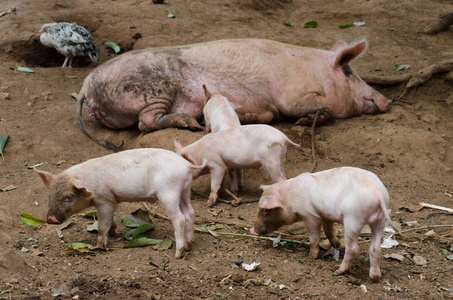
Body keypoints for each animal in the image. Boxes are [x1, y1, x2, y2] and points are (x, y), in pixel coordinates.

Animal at [34, 148, 204, 258]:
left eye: (68, 197)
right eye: (49, 196)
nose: (51, 219)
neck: (89, 186)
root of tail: (186, 164)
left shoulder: (104, 200)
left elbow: (102, 224)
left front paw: (100, 246)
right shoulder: (110, 200)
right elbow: (110, 220)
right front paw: (113, 233)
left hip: (169, 192)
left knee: (179, 218)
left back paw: (178, 254)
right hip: (184, 190)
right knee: (190, 213)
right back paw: (189, 244)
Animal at [251, 166, 400, 282]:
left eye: (266, 210)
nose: (253, 230)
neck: (289, 198)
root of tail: (379, 194)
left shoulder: (309, 214)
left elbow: (314, 237)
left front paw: (311, 257)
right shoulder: (326, 215)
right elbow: (328, 231)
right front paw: (336, 244)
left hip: (353, 218)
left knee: (353, 248)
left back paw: (339, 271)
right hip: (380, 220)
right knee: (375, 247)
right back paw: (375, 277)